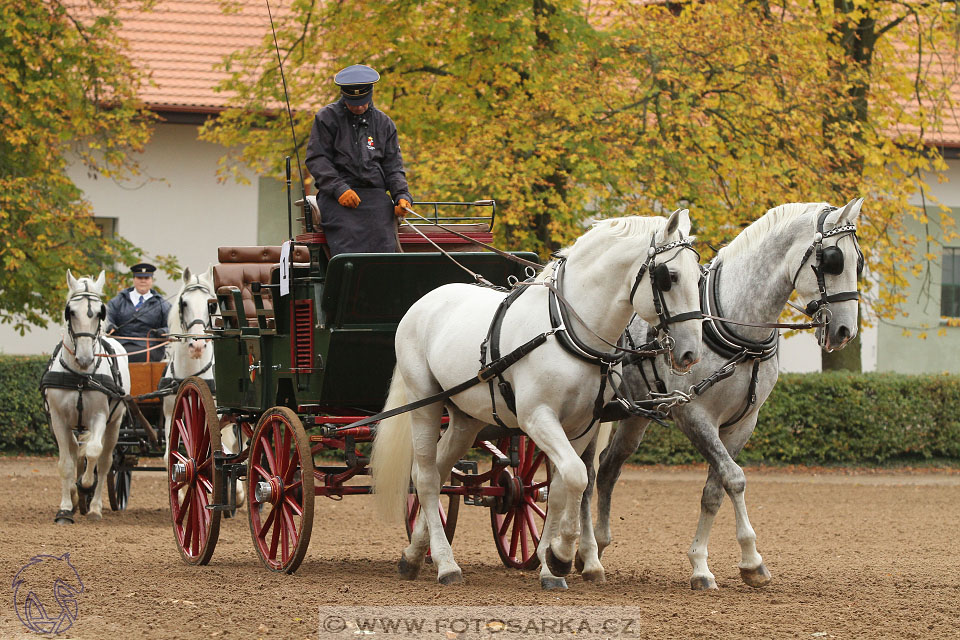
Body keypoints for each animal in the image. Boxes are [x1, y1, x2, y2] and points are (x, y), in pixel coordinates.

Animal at [43, 270, 131, 524]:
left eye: (100, 313)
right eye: (70, 311)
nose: (84, 358)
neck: (80, 376)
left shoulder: (100, 416)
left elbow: (93, 452)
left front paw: (86, 485)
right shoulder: (58, 420)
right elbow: (66, 463)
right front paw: (65, 508)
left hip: (115, 423)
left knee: (105, 462)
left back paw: (94, 506)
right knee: (74, 452)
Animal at [161, 268, 244, 508]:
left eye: (212, 305)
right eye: (184, 303)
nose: (196, 344)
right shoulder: (172, 416)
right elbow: (172, 453)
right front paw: (180, 493)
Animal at [372, 209, 700, 584]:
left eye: (699, 275)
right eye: (669, 277)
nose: (690, 352)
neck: (567, 331)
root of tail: (426, 301)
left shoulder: (583, 426)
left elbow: (560, 488)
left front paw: (551, 563)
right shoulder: (537, 417)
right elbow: (576, 475)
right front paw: (562, 555)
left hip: (464, 418)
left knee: (440, 473)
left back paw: (413, 554)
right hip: (425, 401)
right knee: (425, 479)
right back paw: (445, 563)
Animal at [576, 199, 864, 592]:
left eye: (859, 262)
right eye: (834, 260)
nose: (846, 330)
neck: (732, 321)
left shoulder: (742, 423)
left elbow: (715, 490)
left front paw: (704, 564)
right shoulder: (694, 415)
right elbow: (734, 478)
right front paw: (750, 560)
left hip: (633, 417)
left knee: (607, 469)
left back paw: (598, 545)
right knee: (585, 475)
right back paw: (581, 553)